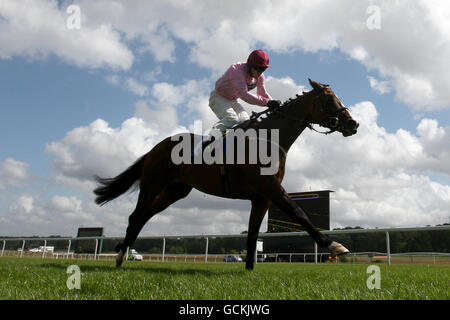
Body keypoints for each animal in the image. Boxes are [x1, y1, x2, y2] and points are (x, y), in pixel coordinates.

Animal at [93, 79, 360, 268]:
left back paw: (124, 251)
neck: (269, 140)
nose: (353, 124)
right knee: (135, 216)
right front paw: (335, 245)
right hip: (152, 184)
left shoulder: (262, 197)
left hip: (175, 191)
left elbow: (253, 235)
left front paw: (250, 271)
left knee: (146, 215)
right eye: (329, 100)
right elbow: (299, 213)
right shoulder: (271, 188)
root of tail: (155, 148)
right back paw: (120, 256)